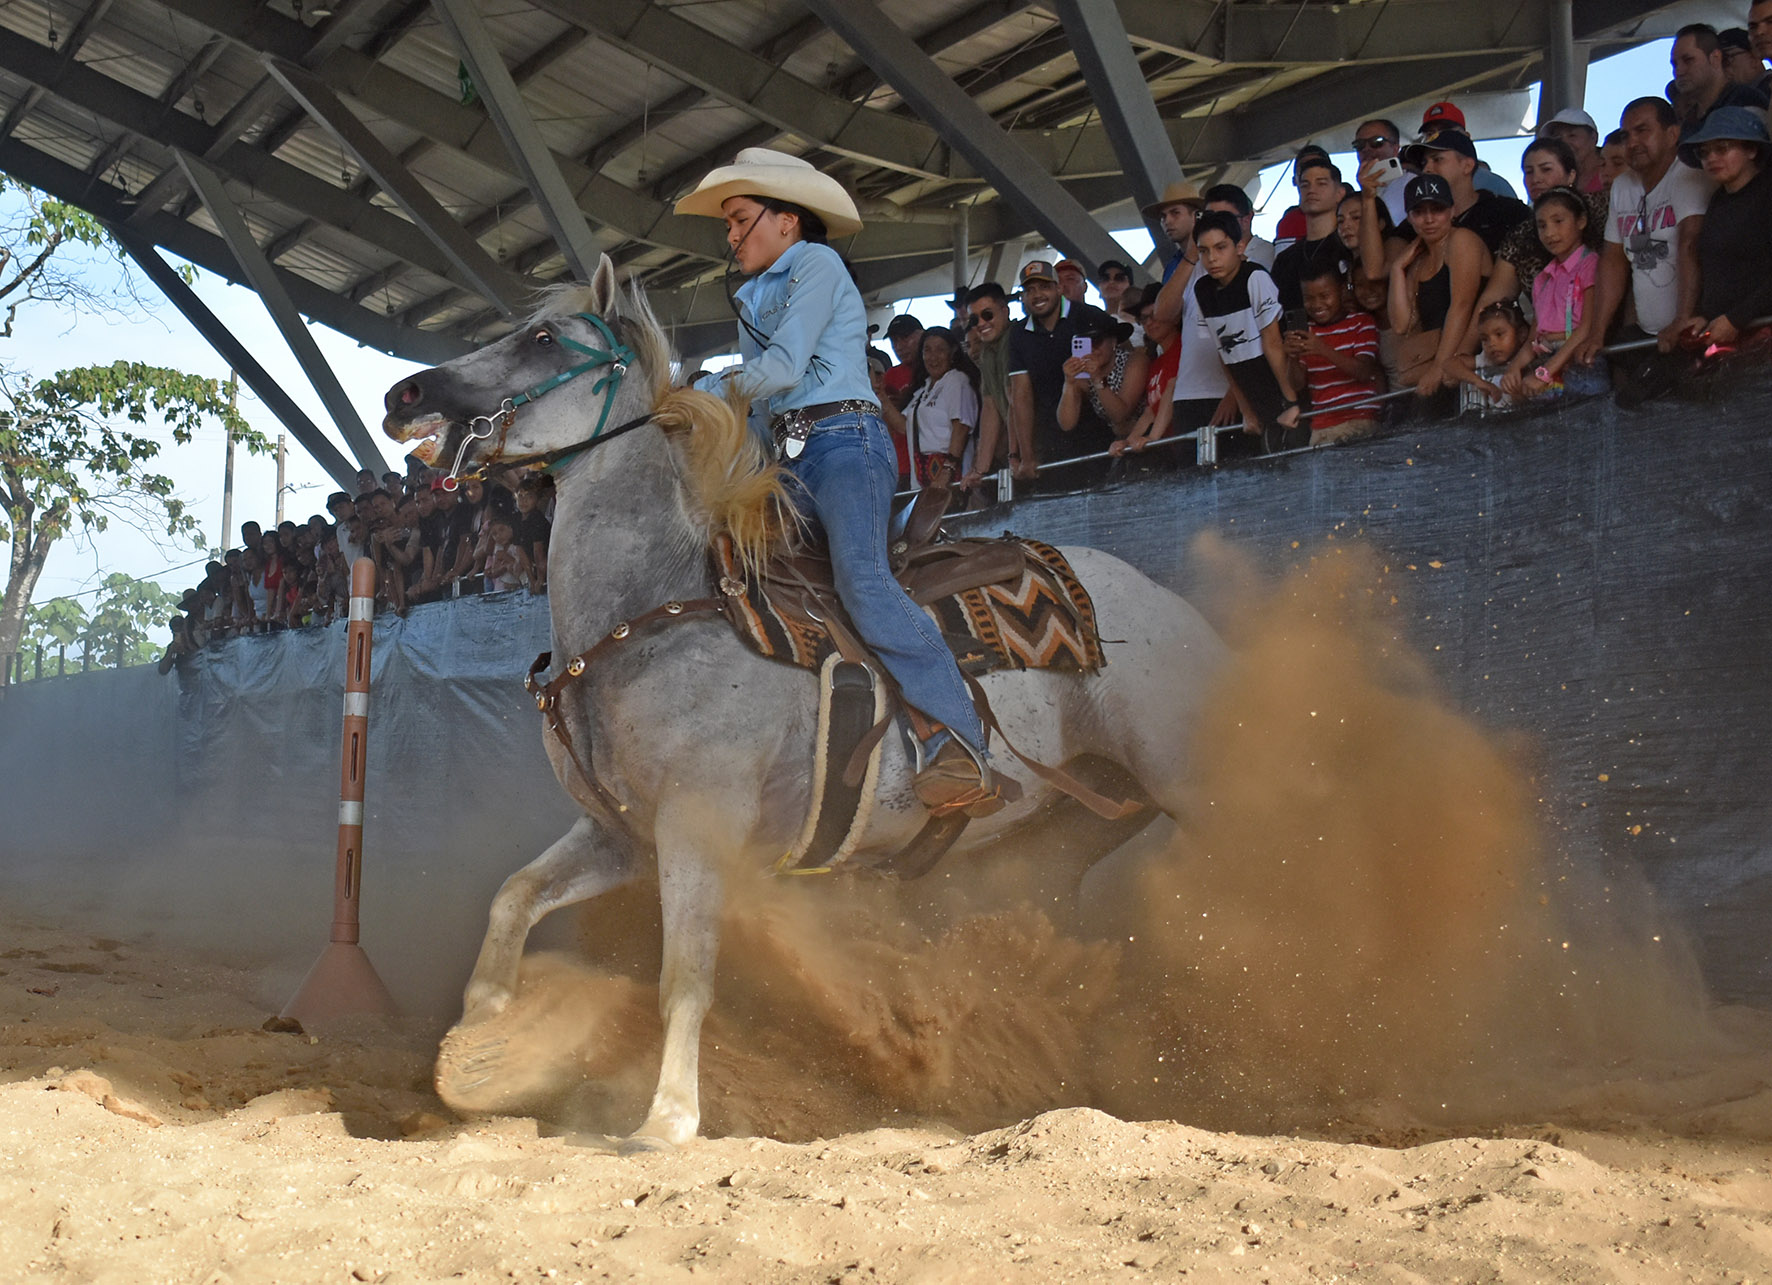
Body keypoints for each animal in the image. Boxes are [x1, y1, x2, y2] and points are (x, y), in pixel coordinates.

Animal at [381, 255, 1228, 1150]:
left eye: (543, 339)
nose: (404, 394)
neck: (654, 612)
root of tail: (1168, 603)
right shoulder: (619, 832)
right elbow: (512, 898)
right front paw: (477, 1047)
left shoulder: (698, 824)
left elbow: (685, 975)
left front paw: (667, 1119)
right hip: (1064, 831)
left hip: (1193, 782)